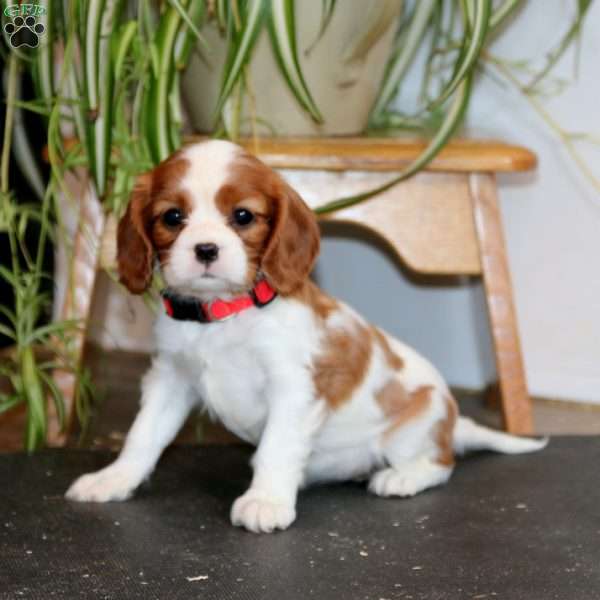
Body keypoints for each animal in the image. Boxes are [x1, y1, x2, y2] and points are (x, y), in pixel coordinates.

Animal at [67, 142, 548, 536]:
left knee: (441, 464)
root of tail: (452, 421)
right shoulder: (171, 379)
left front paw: (265, 501)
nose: (205, 249)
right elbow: (143, 435)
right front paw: (114, 479)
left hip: (415, 428)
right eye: (172, 217)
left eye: (243, 216)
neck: (223, 315)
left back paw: (401, 477)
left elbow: (276, 448)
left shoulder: (293, 390)